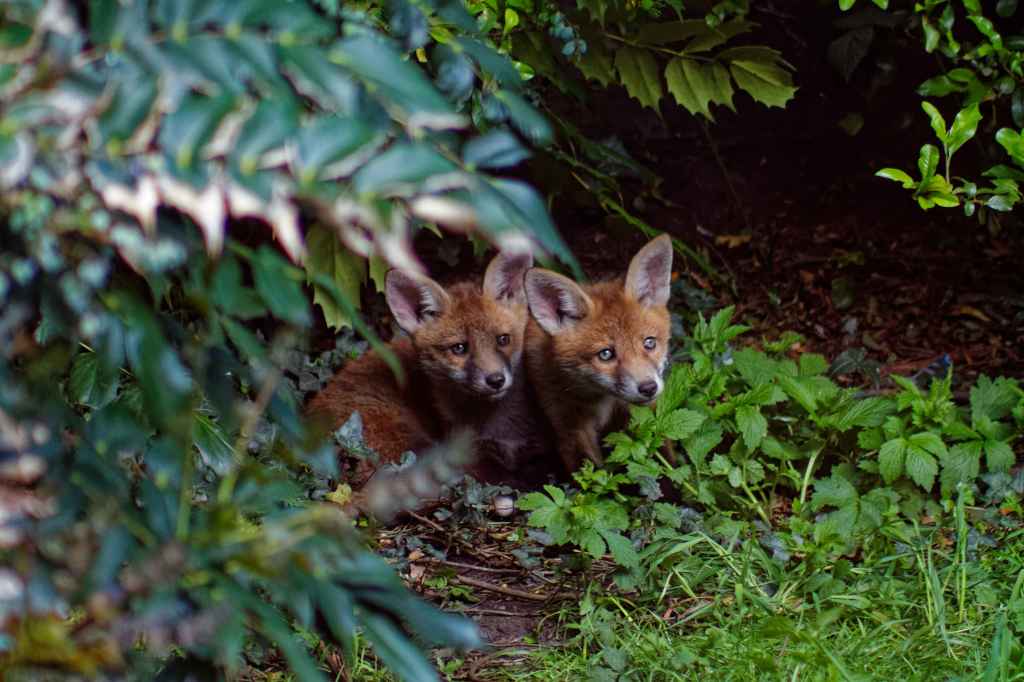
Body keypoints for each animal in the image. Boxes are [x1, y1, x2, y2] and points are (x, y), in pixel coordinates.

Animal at [523, 234, 673, 474]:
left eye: (649, 343)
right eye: (606, 354)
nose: (648, 388)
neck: (603, 402)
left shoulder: (644, 413)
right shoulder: (568, 425)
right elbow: (592, 475)